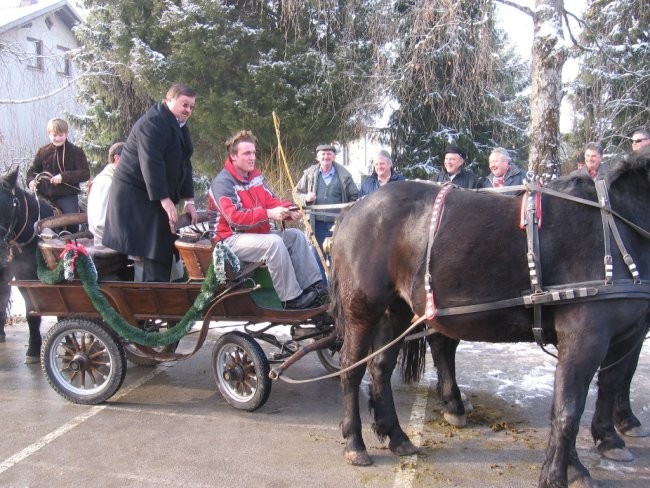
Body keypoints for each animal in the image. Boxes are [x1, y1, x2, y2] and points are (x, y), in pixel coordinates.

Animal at [330, 149, 648, 488]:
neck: (613, 226)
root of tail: (353, 210)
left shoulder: (625, 335)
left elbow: (608, 385)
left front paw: (598, 446)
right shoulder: (585, 336)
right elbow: (569, 409)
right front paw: (559, 473)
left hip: (397, 310)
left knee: (380, 367)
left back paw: (397, 436)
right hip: (362, 310)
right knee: (352, 369)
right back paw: (355, 442)